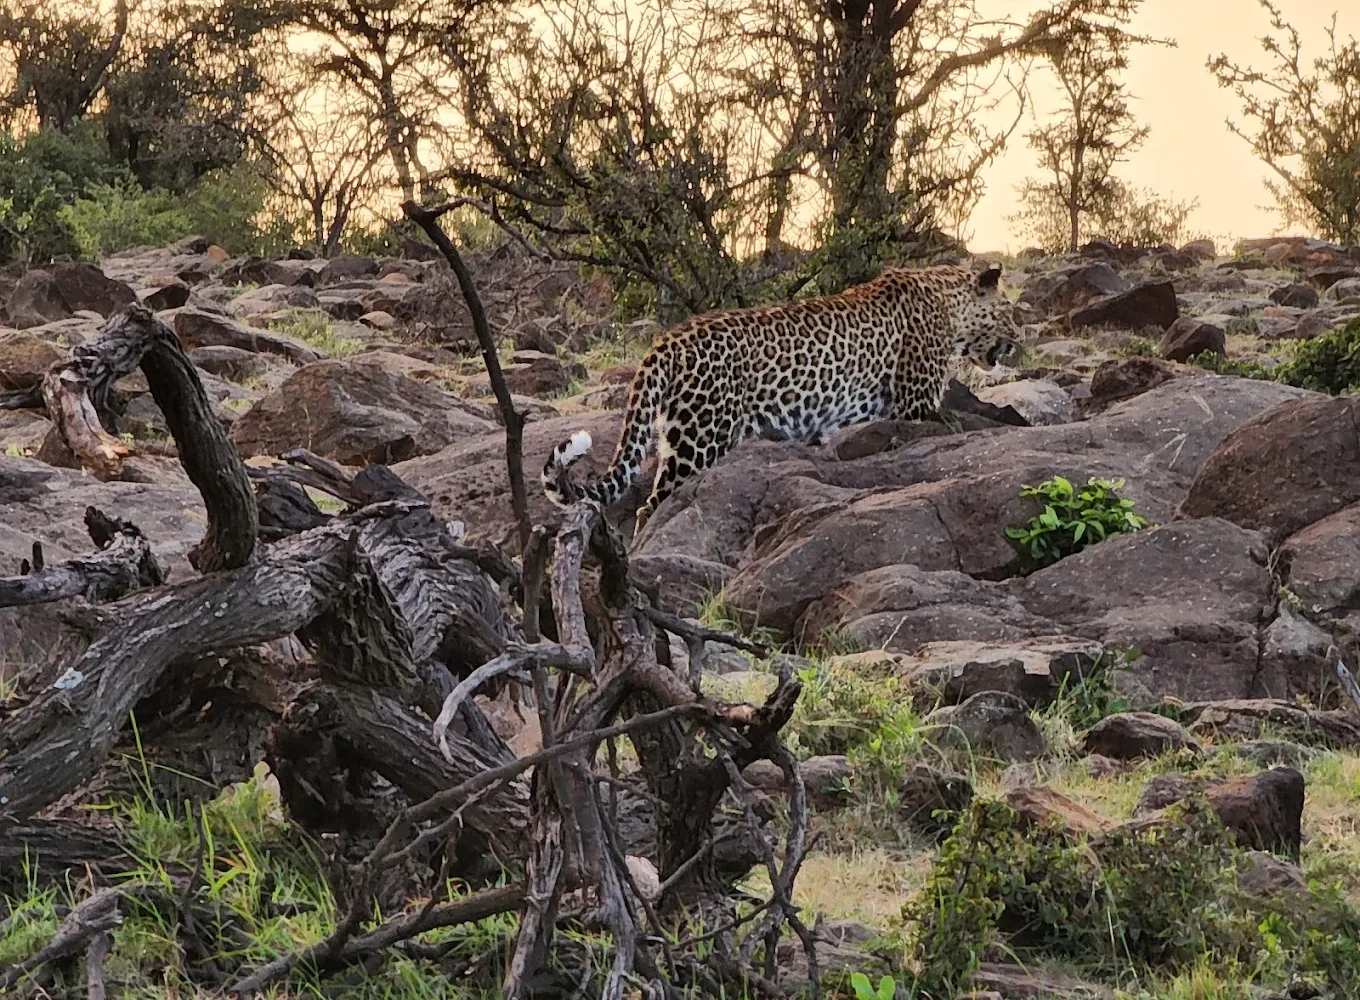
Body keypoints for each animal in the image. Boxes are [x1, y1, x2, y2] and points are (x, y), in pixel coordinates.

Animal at [542, 263, 1020, 534]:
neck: (947, 303)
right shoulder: (916, 404)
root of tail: (667, 341)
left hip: (677, 437)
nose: (1018, 340)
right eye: (1010, 312)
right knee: (653, 506)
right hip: (700, 440)